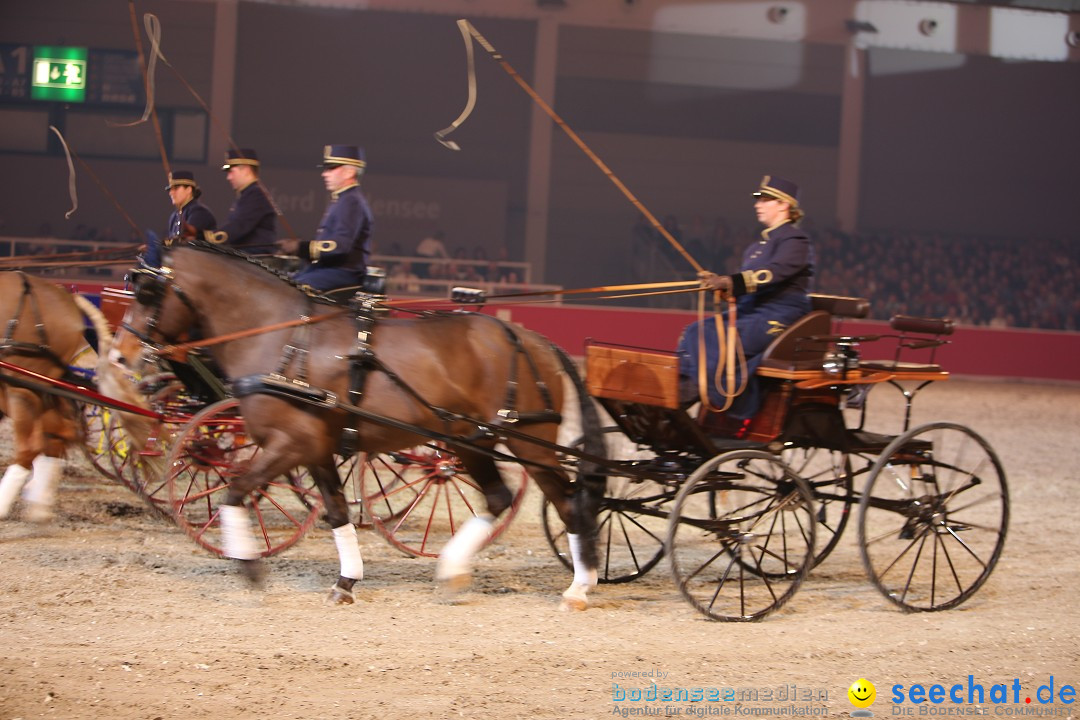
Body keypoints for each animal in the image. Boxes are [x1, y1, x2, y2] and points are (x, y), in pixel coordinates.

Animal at [113, 245, 613, 613]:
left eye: (149, 292)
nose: (119, 355)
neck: (284, 341)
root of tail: (529, 337)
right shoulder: (315, 448)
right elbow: (337, 513)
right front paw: (345, 582)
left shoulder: (290, 443)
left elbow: (235, 490)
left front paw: (250, 566)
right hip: (474, 441)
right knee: (499, 498)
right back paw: (453, 570)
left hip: (532, 444)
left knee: (570, 503)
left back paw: (579, 586)